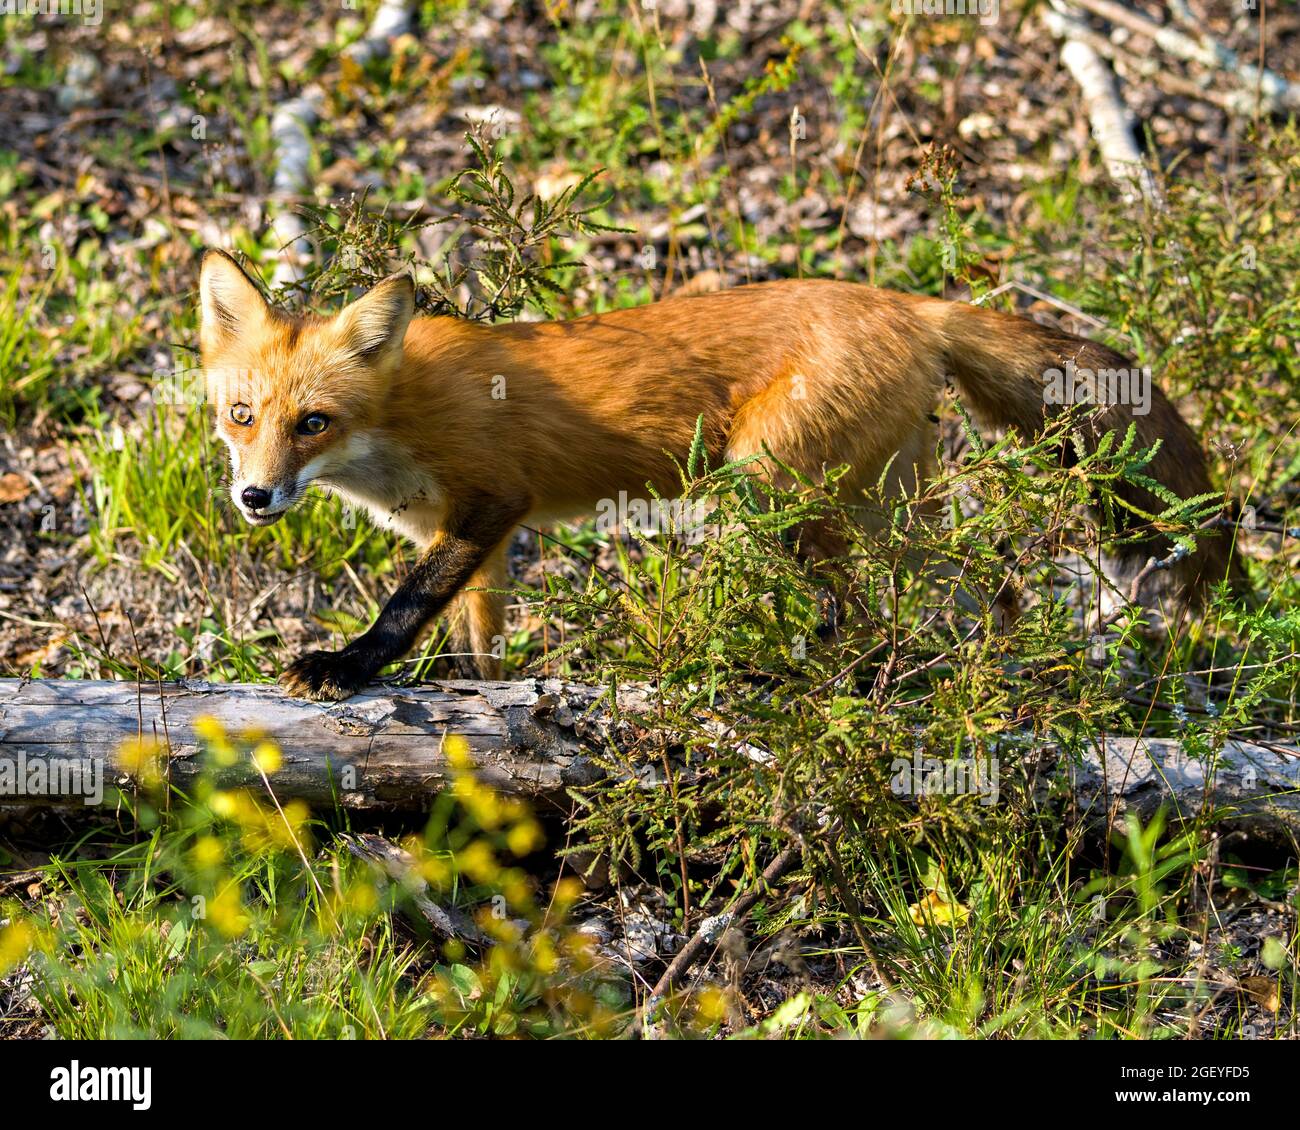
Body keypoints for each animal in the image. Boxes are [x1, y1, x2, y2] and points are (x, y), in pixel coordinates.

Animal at [197, 248, 1237, 701]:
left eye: (313, 423)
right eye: (242, 417)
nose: (254, 498)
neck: (397, 423)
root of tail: (908, 303)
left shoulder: (492, 498)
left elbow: (406, 605)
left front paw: (345, 664)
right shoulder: (464, 535)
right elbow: (473, 645)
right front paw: (471, 697)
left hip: (773, 492)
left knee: (880, 610)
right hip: (880, 510)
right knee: (992, 588)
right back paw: (975, 676)